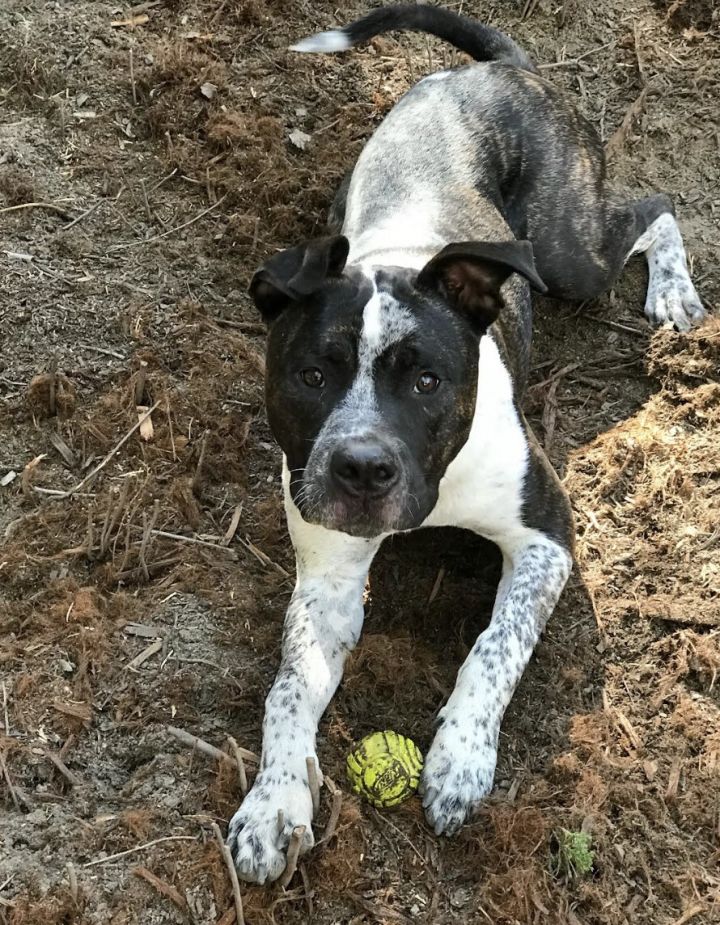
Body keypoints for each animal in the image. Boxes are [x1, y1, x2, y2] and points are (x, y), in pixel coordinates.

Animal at [228, 9, 704, 888]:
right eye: (311, 374)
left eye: (427, 380)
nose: (361, 468)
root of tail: (497, 70)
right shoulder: (328, 578)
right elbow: (288, 690)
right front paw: (274, 802)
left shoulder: (547, 537)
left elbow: (495, 646)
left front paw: (459, 760)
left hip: (568, 251)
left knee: (653, 208)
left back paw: (674, 291)